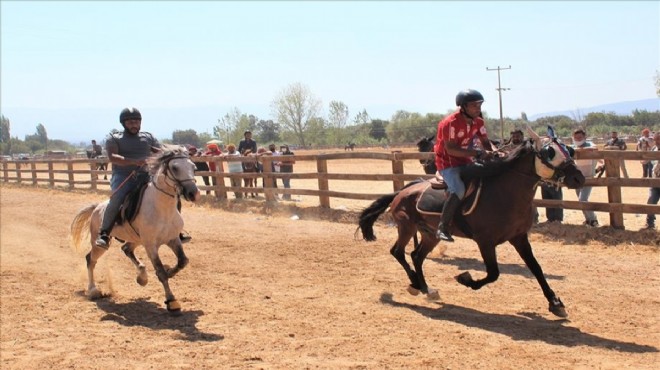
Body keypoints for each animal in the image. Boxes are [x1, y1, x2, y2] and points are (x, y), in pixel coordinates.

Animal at [71, 145, 201, 316]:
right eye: (174, 167)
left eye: (193, 167)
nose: (194, 193)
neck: (162, 208)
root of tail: (97, 207)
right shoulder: (151, 245)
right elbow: (160, 272)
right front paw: (172, 301)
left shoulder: (173, 239)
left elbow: (182, 261)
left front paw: (169, 271)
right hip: (99, 243)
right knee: (90, 259)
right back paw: (93, 290)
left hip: (136, 239)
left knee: (126, 249)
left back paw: (142, 276)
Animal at [358, 133, 584, 318]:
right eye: (550, 152)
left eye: (569, 149)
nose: (578, 178)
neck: (505, 193)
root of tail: (402, 192)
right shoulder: (485, 242)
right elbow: (493, 273)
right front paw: (466, 279)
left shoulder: (519, 237)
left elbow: (536, 268)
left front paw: (555, 303)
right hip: (406, 227)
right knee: (398, 252)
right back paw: (416, 282)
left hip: (429, 234)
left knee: (416, 256)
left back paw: (425, 288)